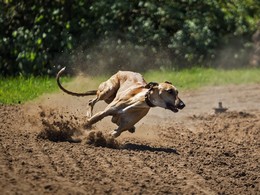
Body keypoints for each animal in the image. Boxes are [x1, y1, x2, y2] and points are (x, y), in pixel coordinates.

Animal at [56, 68, 185, 138]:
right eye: (170, 91)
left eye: (177, 92)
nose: (182, 105)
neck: (138, 101)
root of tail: (122, 71)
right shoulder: (104, 112)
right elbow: (93, 119)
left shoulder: (123, 125)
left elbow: (116, 132)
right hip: (107, 90)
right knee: (91, 101)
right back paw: (88, 115)